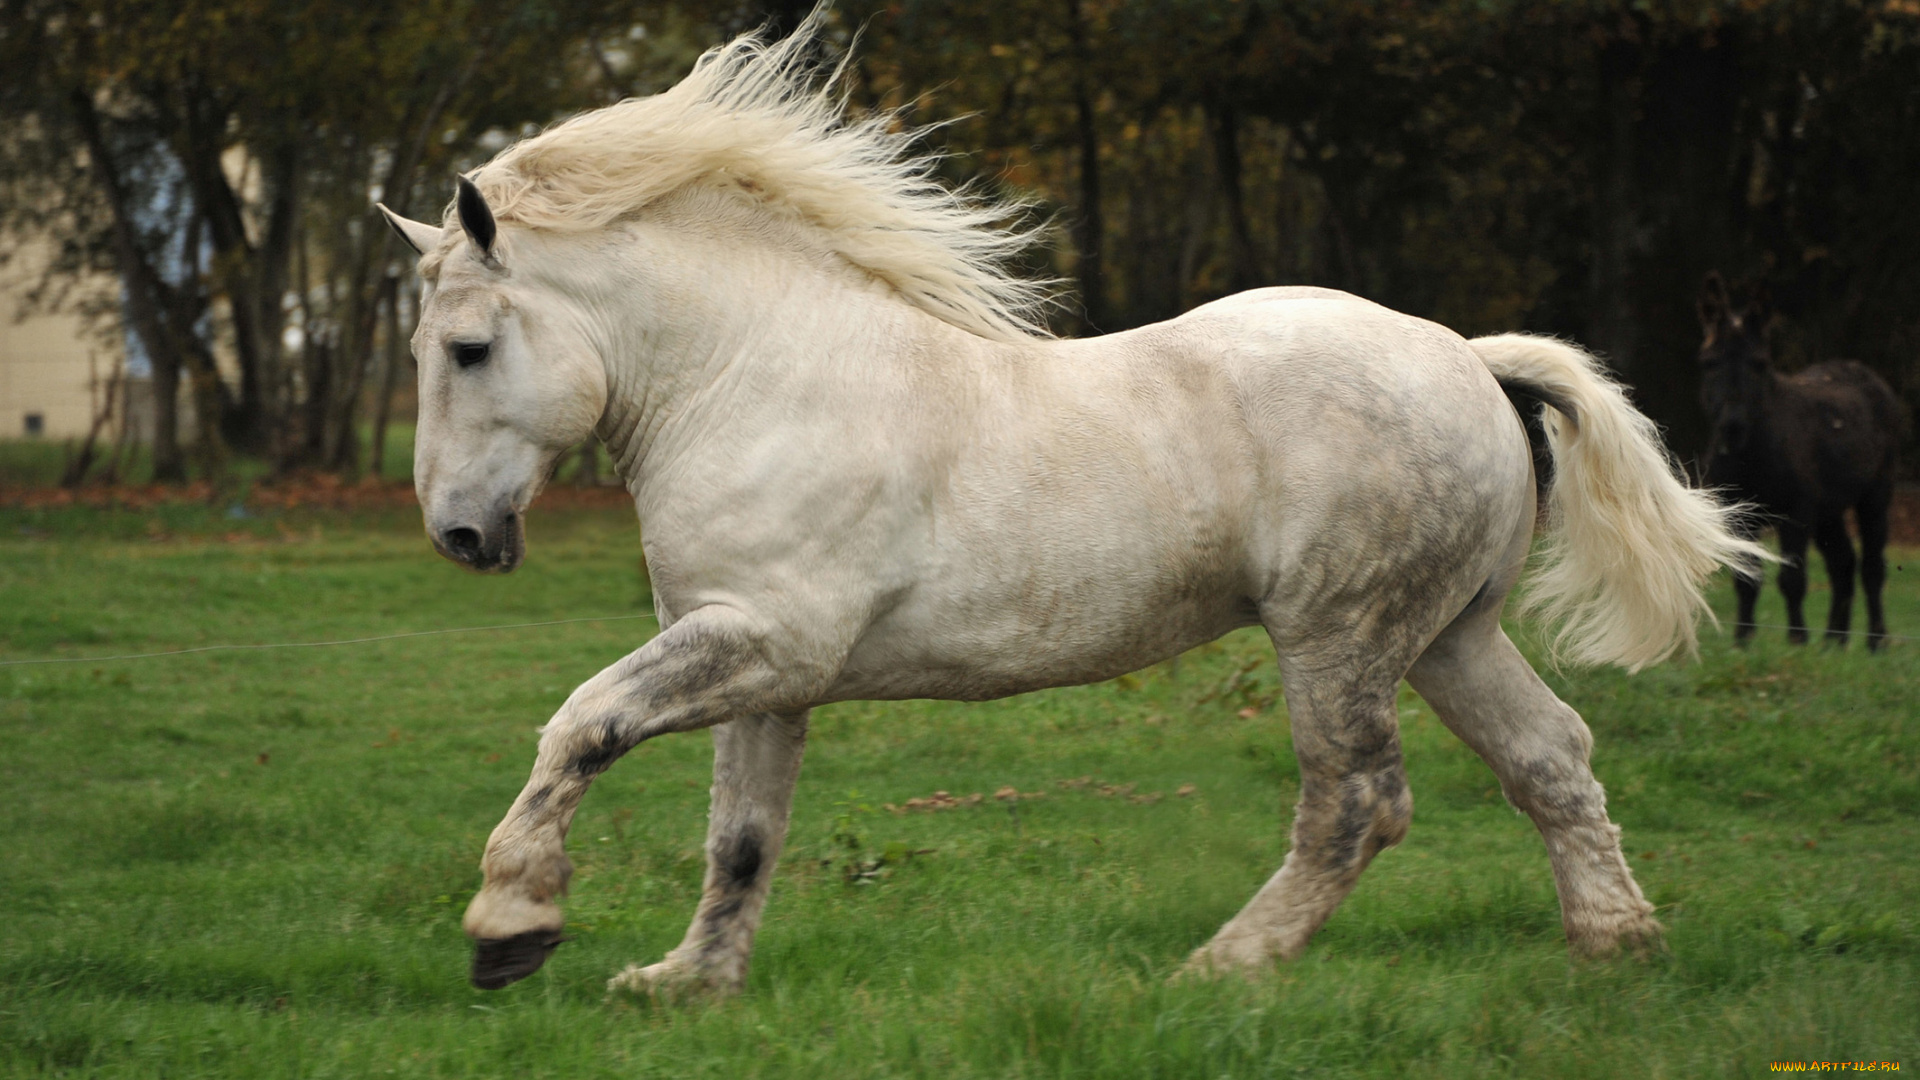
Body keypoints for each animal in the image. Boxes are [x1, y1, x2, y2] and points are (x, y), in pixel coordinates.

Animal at [376, 19, 1767, 997]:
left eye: (466, 350)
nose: (460, 537)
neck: (757, 378)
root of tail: (1472, 360)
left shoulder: (766, 640)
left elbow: (583, 726)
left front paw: (511, 927)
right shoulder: (763, 668)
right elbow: (743, 840)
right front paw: (684, 983)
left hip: (1340, 640)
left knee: (1358, 804)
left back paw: (1221, 969)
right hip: (1449, 637)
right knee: (1552, 761)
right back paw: (1617, 948)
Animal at [1696, 273, 1905, 650]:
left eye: (1760, 364)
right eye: (1708, 362)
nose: (1732, 428)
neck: (1752, 456)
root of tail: (1862, 372)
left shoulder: (1796, 512)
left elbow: (1792, 579)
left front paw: (1797, 640)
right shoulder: (1739, 514)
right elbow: (1746, 579)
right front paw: (1743, 642)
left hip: (1875, 496)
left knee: (1871, 567)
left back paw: (1875, 642)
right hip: (1828, 511)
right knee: (1843, 563)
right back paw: (1834, 643)